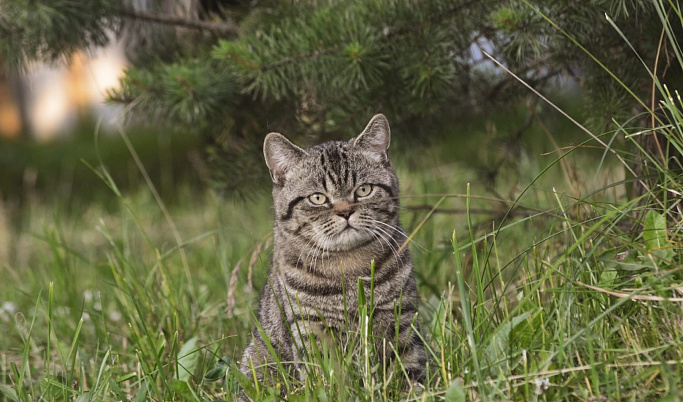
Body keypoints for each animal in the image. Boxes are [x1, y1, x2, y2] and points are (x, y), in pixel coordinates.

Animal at [238, 114, 424, 396]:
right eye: (317, 198)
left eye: (364, 190)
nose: (345, 212)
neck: (348, 265)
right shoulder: (310, 326)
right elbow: (325, 377)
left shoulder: (400, 315)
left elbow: (406, 365)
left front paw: (413, 391)